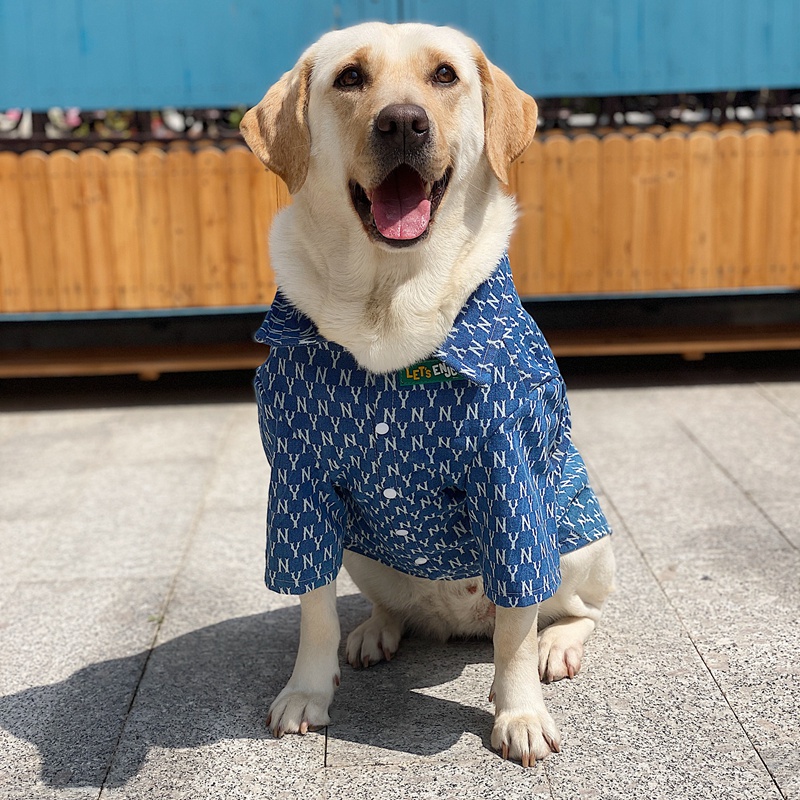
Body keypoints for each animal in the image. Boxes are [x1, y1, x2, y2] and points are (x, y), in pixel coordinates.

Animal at [241, 21, 616, 764]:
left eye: (445, 75)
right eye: (350, 78)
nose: (403, 122)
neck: (390, 301)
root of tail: (457, 624)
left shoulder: (509, 479)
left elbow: (515, 632)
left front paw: (519, 712)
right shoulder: (298, 480)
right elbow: (313, 609)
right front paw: (307, 690)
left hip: (577, 539)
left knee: (569, 611)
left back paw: (556, 645)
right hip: (364, 552)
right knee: (393, 607)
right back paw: (376, 631)